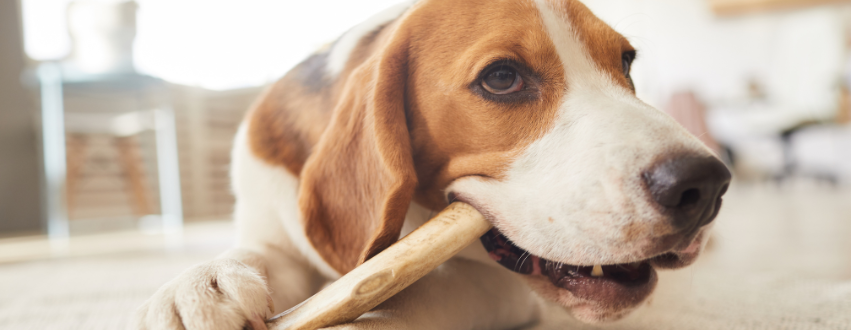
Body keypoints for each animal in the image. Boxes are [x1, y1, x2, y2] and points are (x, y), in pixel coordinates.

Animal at [133, 0, 732, 328]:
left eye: (626, 62)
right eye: (502, 78)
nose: (705, 185)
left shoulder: (492, 288)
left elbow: (415, 295)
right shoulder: (270, 226)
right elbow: (254, 256)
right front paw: (199, 286)